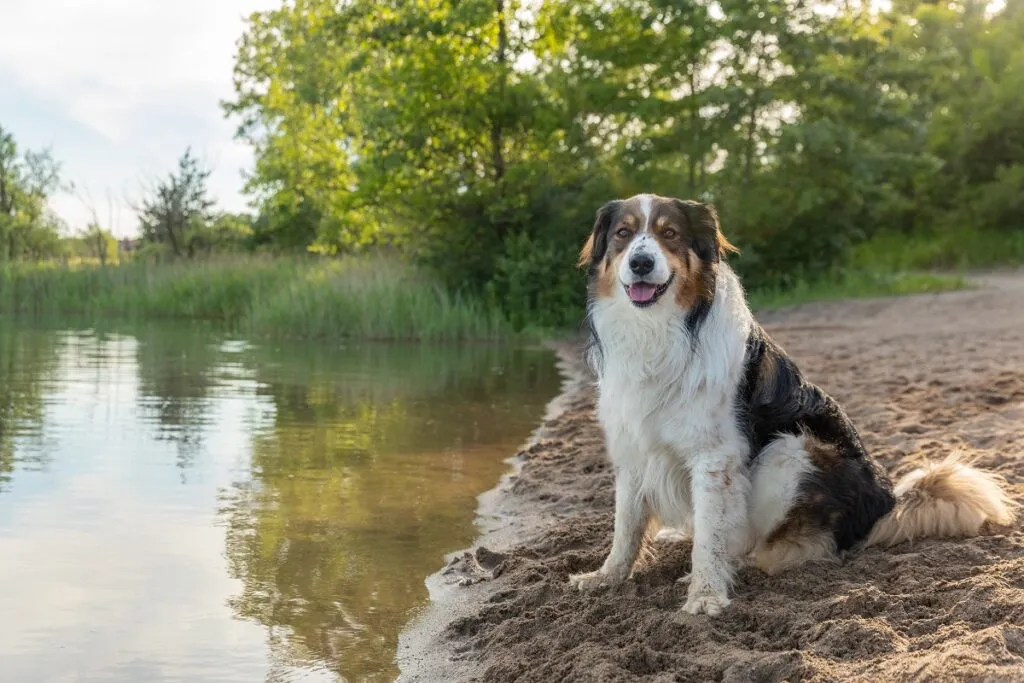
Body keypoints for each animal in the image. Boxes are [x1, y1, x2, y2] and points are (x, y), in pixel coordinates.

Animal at [569, 194, 1015, 618]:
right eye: (623, 234)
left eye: (670, 234)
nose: (641, 263)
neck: (658, 330)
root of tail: (886, 503)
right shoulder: (633, 446)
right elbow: (626, 526)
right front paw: (606, 577)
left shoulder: (716, 456)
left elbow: (711, 537)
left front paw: (706, 593)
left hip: (791, 449)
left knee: (784, 547)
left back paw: (737, 563)